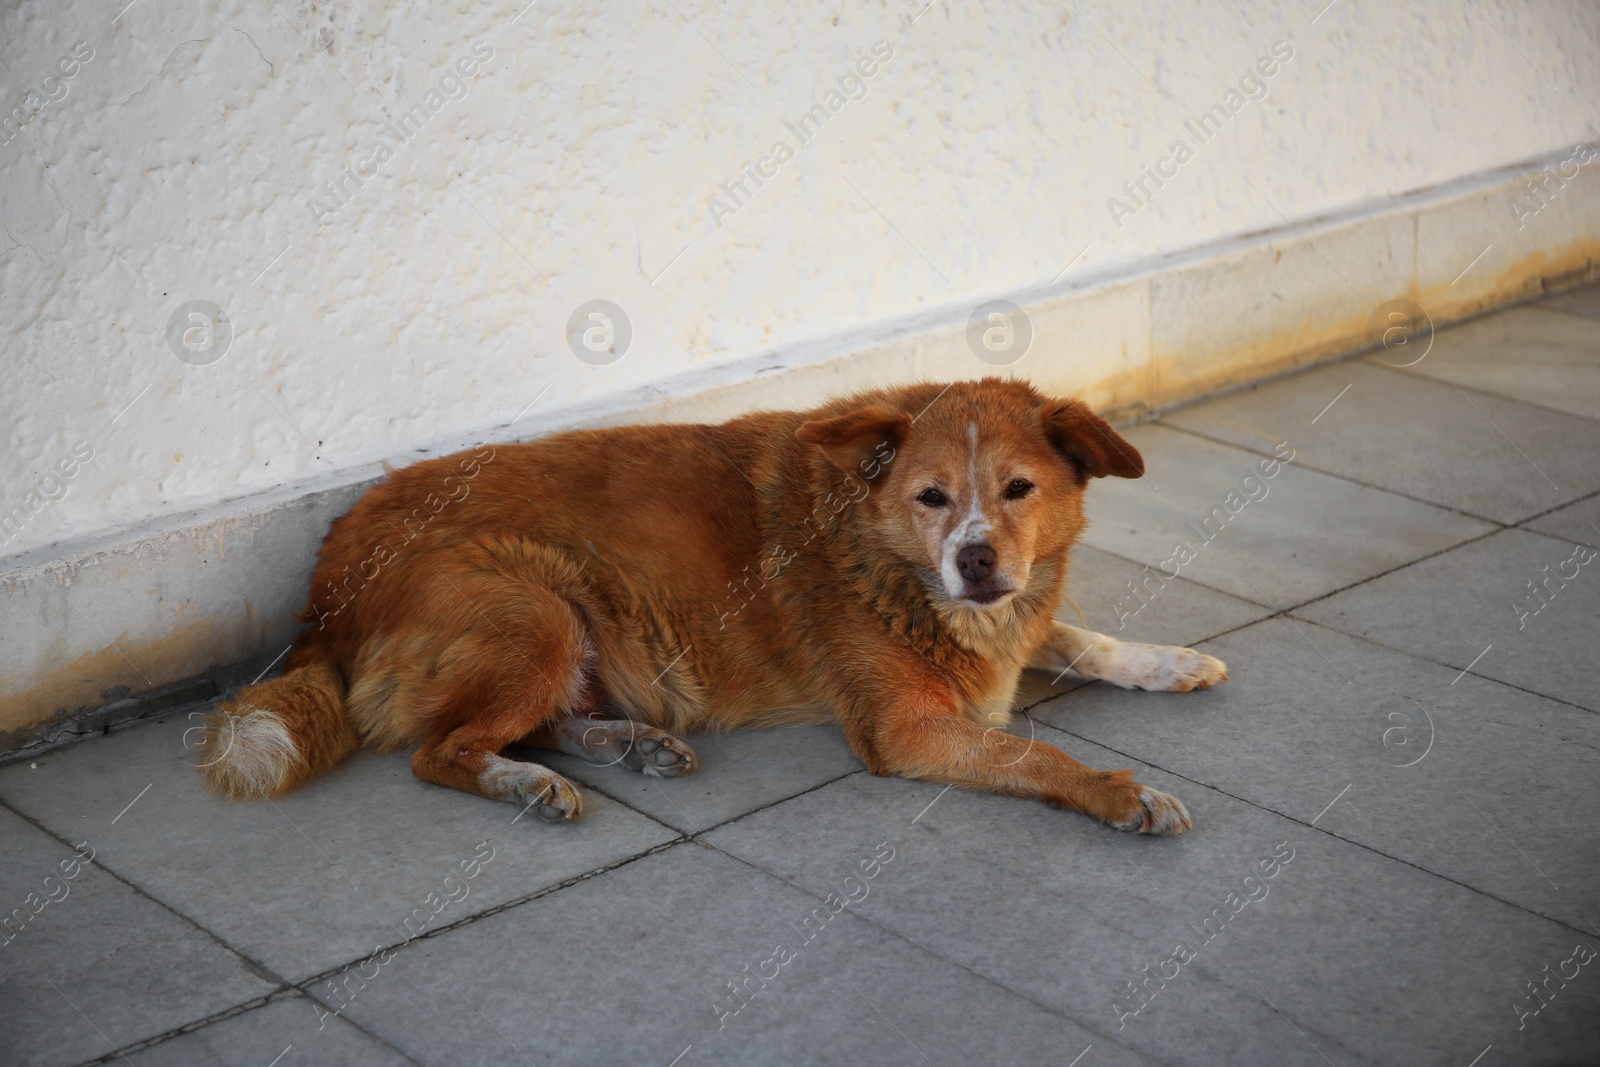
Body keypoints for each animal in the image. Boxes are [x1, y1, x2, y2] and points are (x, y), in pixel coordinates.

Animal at [200, 382, 1222, 831]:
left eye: (1018, 489)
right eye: (932, 496)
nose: (975, 562)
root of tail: (324, 587)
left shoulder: (1011, 620)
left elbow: (1082, 638)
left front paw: (1168, 660)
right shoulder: (906, 728)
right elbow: (1035, 752)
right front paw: (1120, 791)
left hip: (563, 627)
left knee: (525, 720)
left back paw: (626, 743)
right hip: (534, 609)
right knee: (437, 749)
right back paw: (528, 783)